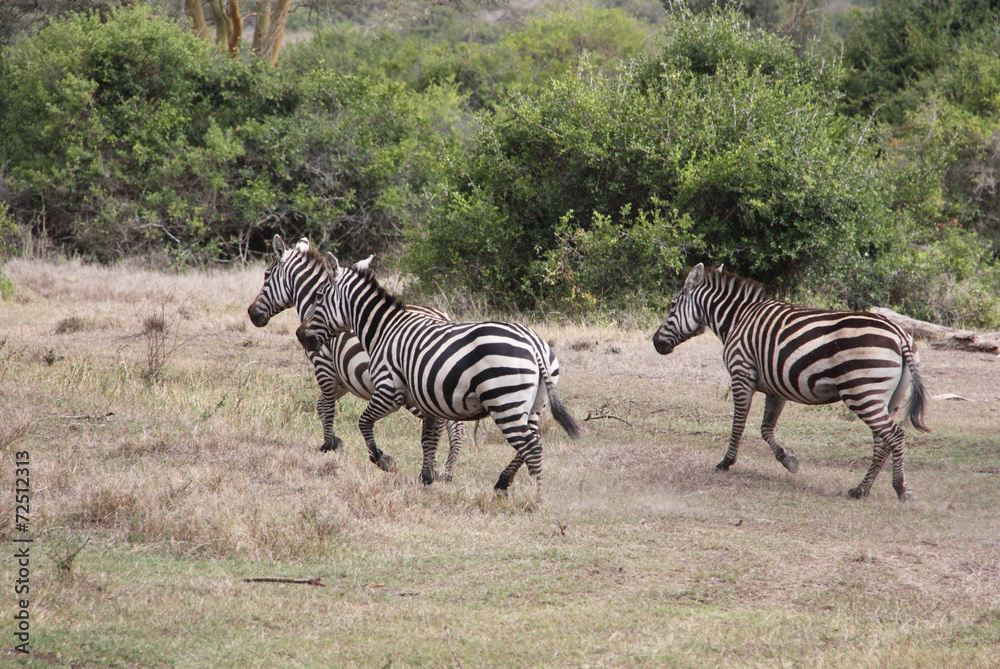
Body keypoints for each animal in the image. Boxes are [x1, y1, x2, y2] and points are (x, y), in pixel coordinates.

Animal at [247, 235, 464, 480]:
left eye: (266, 275)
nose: (252, 313)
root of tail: (443, 316)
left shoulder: (324, 367)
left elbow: (327, 406)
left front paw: (328, 445)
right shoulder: (344, 378)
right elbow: (321, 405)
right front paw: (336, 441)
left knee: (448, 423)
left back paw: (440, 469)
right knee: (454, 425)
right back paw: (447, 471)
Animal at [295, 253, 581, 499]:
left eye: (318, 296)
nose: (300, 335)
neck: (382, 330)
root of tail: (534, 344)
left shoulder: (389, 391)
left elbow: (364, 423)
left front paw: (384, 460)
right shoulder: (427, 402)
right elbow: (428, 441)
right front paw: (427, 478)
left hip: (505, 401)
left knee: (532, 447)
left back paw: (537, 499)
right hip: (533, 405)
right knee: (530, 443)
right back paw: (503, 484)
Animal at [652, 263, 929, 501]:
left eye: (672, 305)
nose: (655, 343)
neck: (737, 319)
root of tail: (900, 334)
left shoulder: (741, 373)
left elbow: (738, 423)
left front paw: (726, 462)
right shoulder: (776, 387)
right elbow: (765, 429)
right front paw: (788, 460)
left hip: (862, 391)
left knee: (895, 435)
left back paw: (900, 488)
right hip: (887, 398)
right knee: (882, 442)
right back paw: (860, 490)